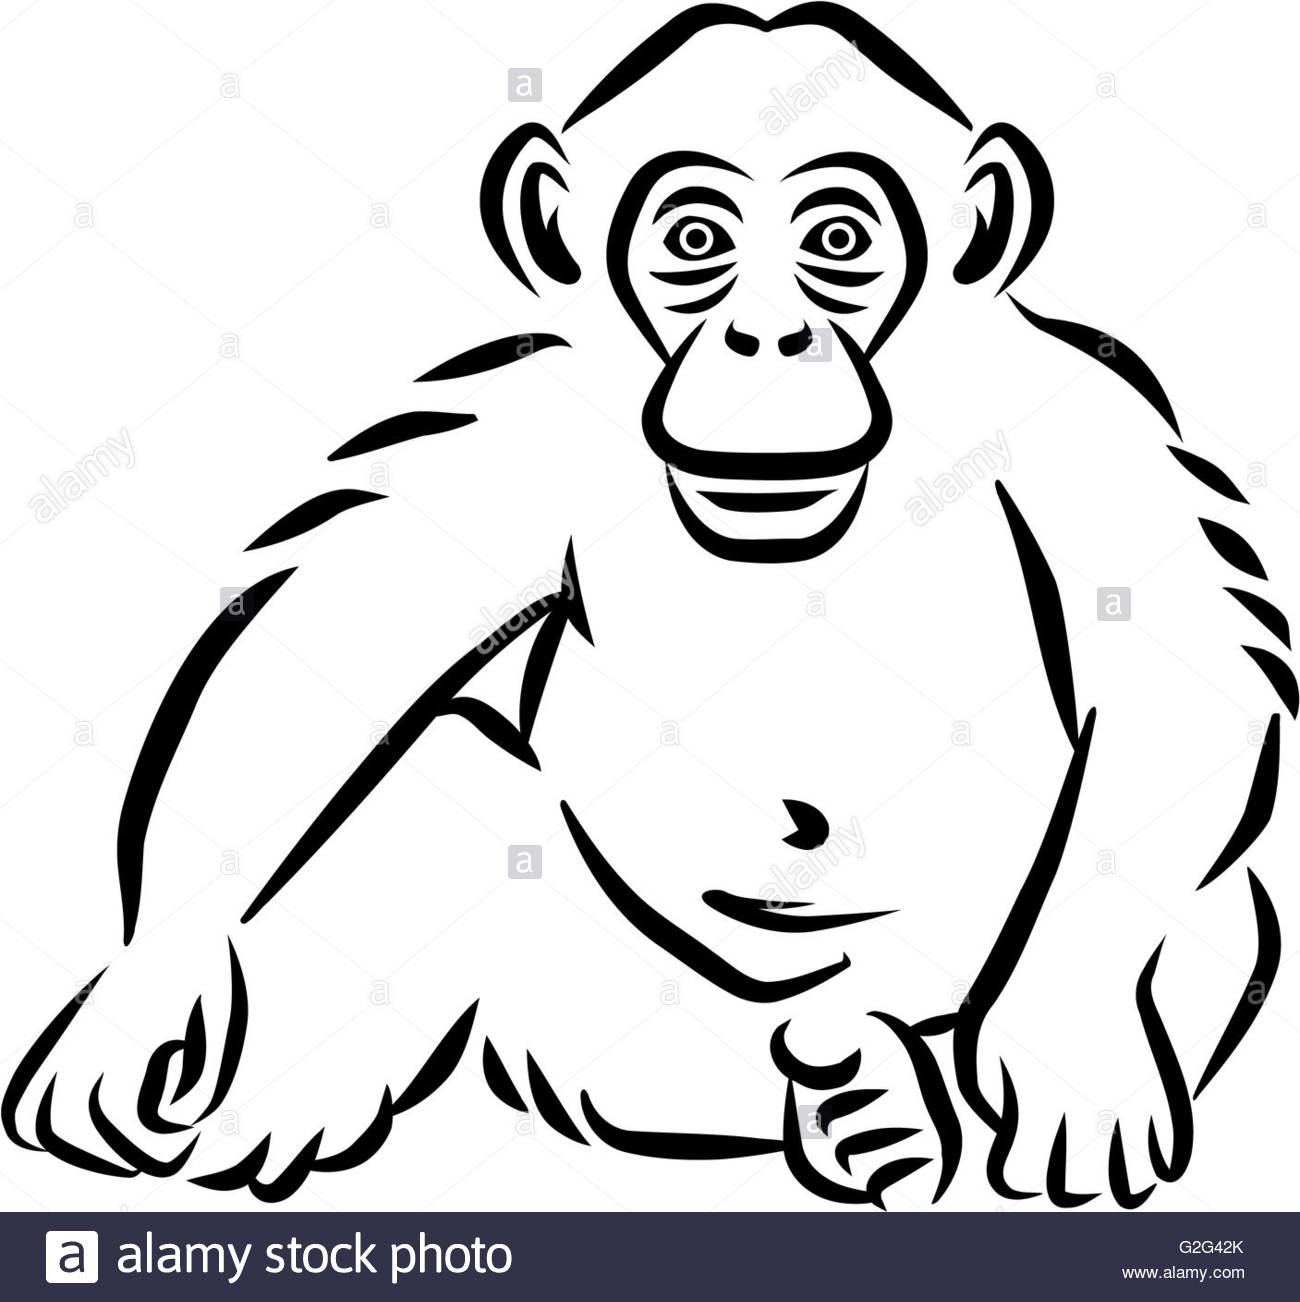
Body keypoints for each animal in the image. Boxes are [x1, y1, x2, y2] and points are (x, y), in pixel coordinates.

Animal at [4, 4, 1288, 1210]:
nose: (766, 335)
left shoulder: (1085, 416)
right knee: (446, 779)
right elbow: (332, 639)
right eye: (695, 241)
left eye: (838, 240)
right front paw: (141, 989)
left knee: (1231, 922)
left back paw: (884, 1114)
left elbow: (1170, 668)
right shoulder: (519, 418)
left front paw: (1084, 1049)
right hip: (615, 1040)